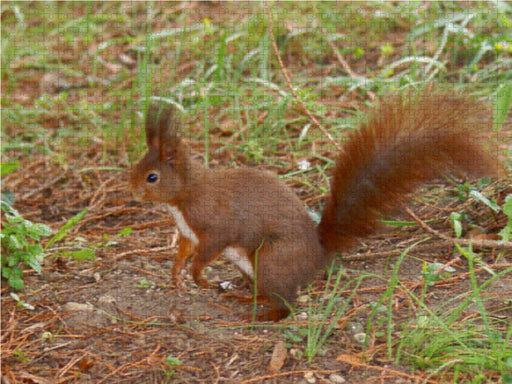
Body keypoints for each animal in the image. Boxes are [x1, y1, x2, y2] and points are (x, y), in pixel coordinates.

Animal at [130, 90, 498, 320]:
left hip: (271, 259)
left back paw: (263, 315)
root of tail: (318, 255)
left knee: (286, 305)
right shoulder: (187, 233)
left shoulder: (216, 223)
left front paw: (197, 276)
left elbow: (210, 248)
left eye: (151, 177)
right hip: (255, 267)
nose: (131, 190)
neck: (184, 196)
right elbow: (183, 251)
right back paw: (244, 296)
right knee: (268, 292)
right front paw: (176, 274)